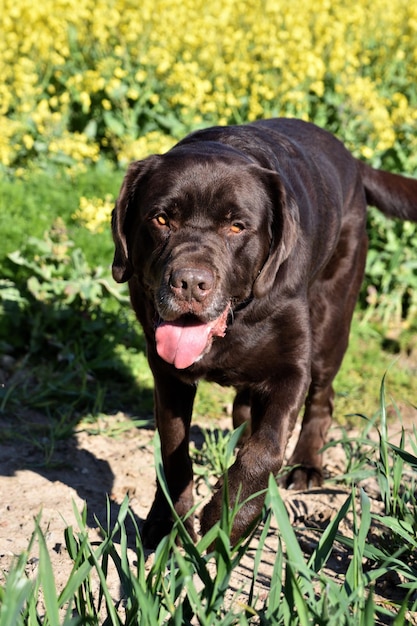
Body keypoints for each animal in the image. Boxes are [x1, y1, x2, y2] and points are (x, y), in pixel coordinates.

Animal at [110, 118, 416, 544]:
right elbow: (173, 452)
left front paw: (228, 517)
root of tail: (353, 161)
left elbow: (266, 450)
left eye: (237, 226)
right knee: (246, 406)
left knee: (322, 397)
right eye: (161, 219)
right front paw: (167, 524)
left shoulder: (291, 369)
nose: (189, 282)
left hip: (331, 322)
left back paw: (305, 466)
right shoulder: (167, 374)